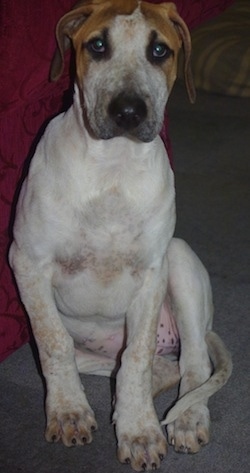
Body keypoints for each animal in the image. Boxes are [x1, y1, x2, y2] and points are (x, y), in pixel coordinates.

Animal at [9, 1, 232, 470]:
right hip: (85, 353)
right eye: (97, 45)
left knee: (191, 365)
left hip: (179, 261)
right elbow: (54, 343)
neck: (112, 167)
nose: (129, 113)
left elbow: (138, 354)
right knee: (155, 368)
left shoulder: (151, 273)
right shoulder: (27, 261)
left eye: (160, 50)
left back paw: (183, 418)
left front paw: (139, 430)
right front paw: (70, 412)